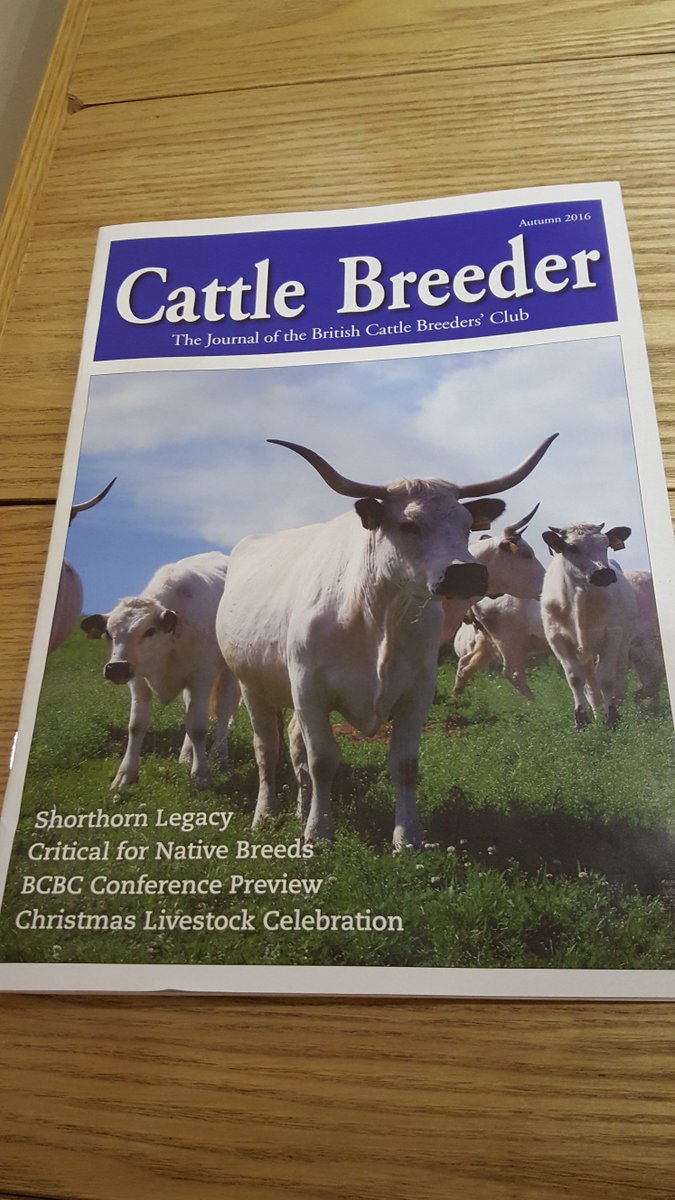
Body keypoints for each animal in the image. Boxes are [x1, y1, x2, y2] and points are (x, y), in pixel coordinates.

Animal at [81, 551, 240, 790]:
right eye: (108, 633)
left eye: (149, 631)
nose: (116, 668)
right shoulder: (138, 680)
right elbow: (136, 725)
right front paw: (125, 774)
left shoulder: (202, 676)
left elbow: (198, 727)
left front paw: (201, 775)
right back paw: (186, 755)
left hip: (226, 674)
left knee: (222, 712)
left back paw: (219, 756)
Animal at [216, 434, 557, 849]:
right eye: (408, 524)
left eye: (466, 525)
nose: (468, 573)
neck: (376, 613)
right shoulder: (309, 688)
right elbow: (322, 761)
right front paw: (319, 833)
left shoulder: (417, 690)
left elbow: (404, 764)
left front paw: (406, 837)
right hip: (252, 686)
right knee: (267, 750)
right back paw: (265, 815)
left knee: (294, 747)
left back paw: (300, 810)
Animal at [540, 523, 637, 729]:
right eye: (573, 548)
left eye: (606, 544)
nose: (604, 573)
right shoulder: (557, 640)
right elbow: (575, 679)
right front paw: (581, 720)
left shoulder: (611, 636)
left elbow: (607, 679)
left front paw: (611, 718)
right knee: (590, 685)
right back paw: (595, 711)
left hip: (623, 643)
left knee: (618, 677)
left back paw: (617, 705)